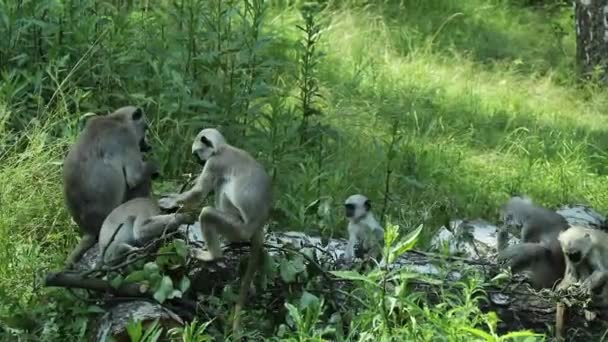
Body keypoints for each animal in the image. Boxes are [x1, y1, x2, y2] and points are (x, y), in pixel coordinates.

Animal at [158, 127, 272, 334]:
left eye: (197, 154)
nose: (199, 162)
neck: (223, 148)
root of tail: (258, 225)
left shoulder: (215, 163)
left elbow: (199, 193)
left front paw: (170, 201)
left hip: (238, 227)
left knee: (209, 210)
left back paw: (212, 255)